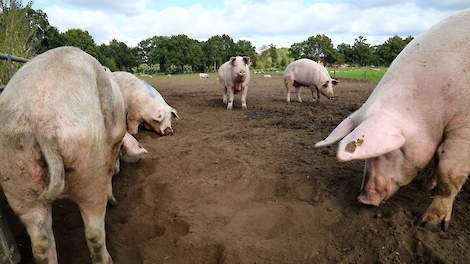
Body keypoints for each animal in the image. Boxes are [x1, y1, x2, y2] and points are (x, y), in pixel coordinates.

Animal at [0, 46, 126, 262]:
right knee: (94, 231)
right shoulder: (115, 141)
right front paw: (114, 199)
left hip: (15, 174)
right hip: (89, 167)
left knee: (40, 243)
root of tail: (42, 123)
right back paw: (108, 258)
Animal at [314, 9, 470, 231]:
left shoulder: (464, 128)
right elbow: (437, 160)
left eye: (389, 151)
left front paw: (428, 224)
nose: (363, 199)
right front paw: (425, 186)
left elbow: (449, 172)